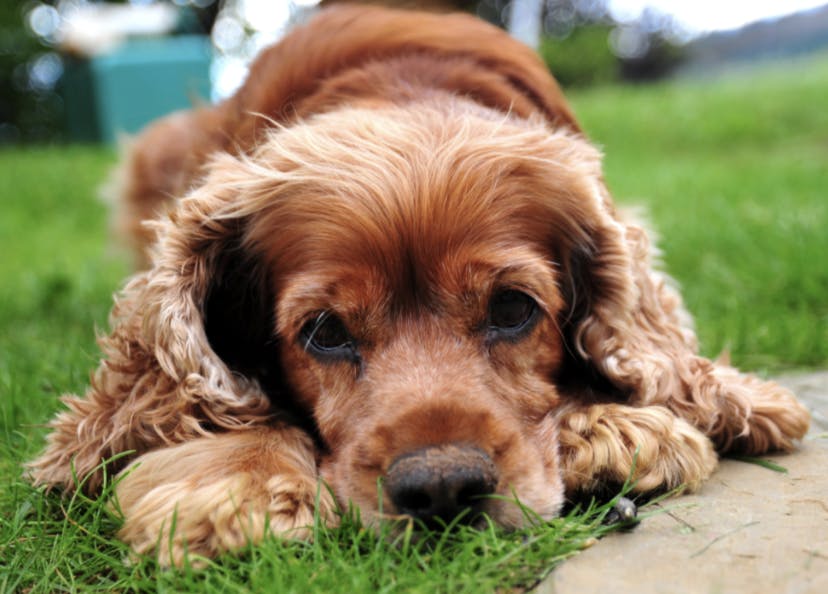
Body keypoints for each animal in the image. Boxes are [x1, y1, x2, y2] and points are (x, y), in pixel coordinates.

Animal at [27, 4, 808, 560]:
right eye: (324, 332)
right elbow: (214, 399)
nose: (442, 489)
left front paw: (612, 424)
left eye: (513, 310)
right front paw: (231, 481)